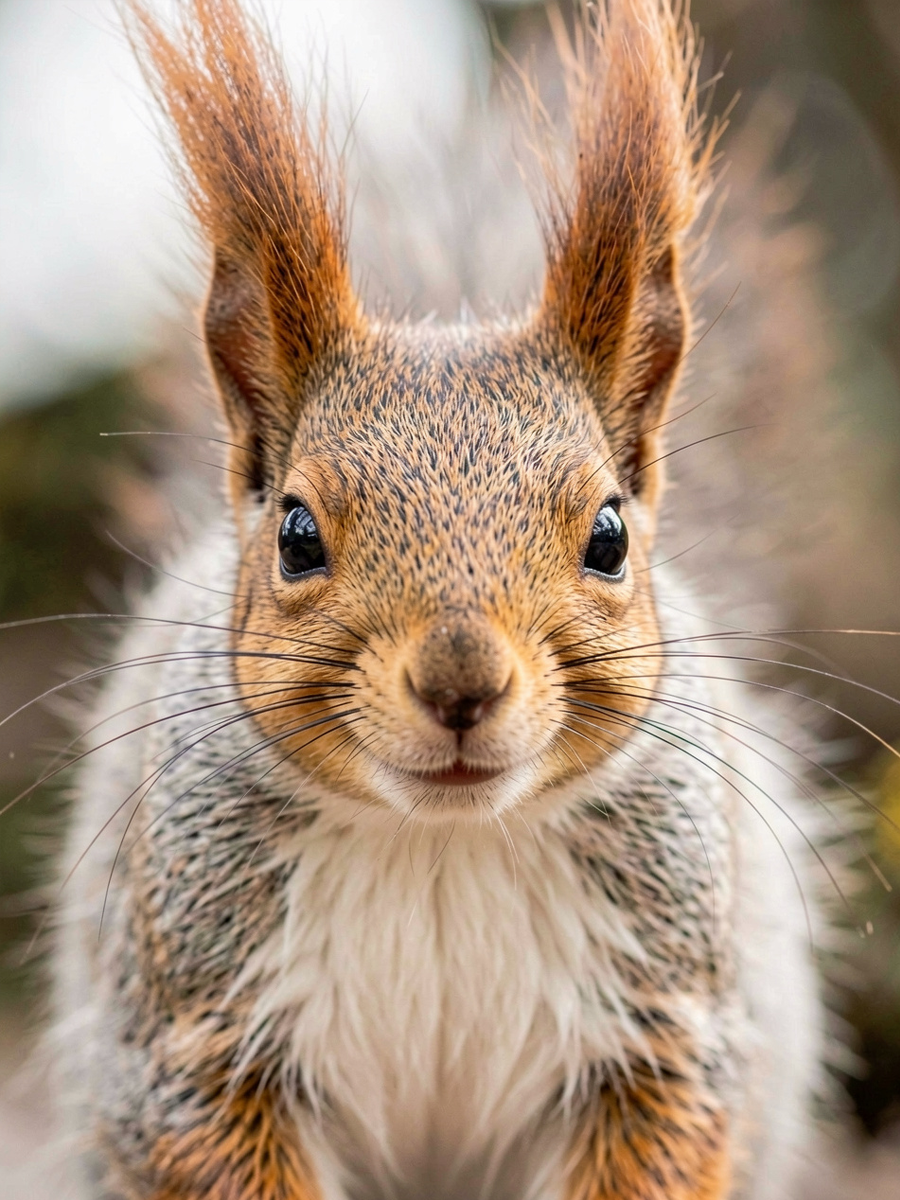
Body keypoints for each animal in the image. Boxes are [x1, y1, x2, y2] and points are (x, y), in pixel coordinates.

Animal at [51, 1, 827, 1198]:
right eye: (296, 535)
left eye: (609, 537)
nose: (462, 685)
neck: (440, 845)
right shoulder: (191, 1033)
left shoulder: (667, 1029)